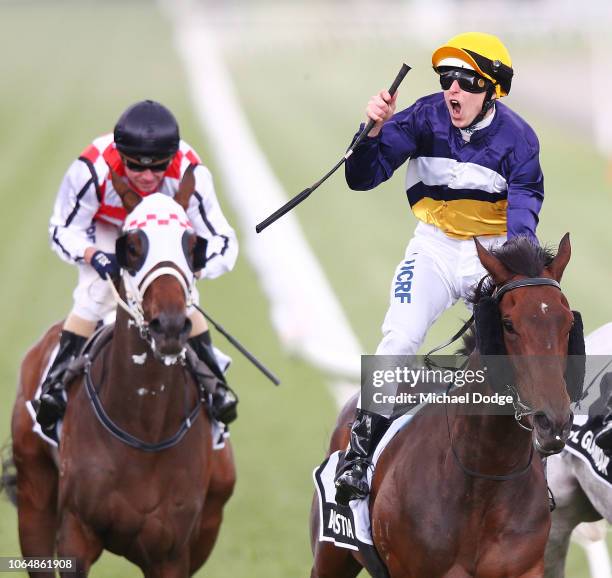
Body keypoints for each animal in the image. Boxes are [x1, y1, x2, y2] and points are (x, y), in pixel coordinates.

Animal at [8, 172, 235, 576]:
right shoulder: (76, 532)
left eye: (192, 244)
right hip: (34, 492)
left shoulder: (172, 554)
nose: (170, 326)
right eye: (132, 246)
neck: (145, 427)